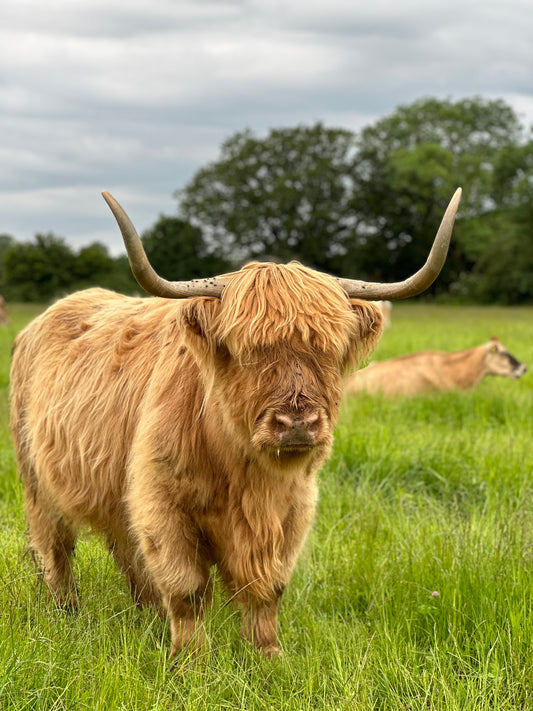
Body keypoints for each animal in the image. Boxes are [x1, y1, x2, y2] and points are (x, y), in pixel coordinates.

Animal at [8, 188, 462, 656]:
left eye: (329, 348)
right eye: (245, 349)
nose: (296, 423)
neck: (243, 473)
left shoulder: (292, 511)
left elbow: (268, 591)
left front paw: (268, 657)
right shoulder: (162, 504)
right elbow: (186, 590)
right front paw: (190, 661)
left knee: (125, 551)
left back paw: (147, 614)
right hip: (36, 480)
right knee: (55, 548)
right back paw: (68, 613)